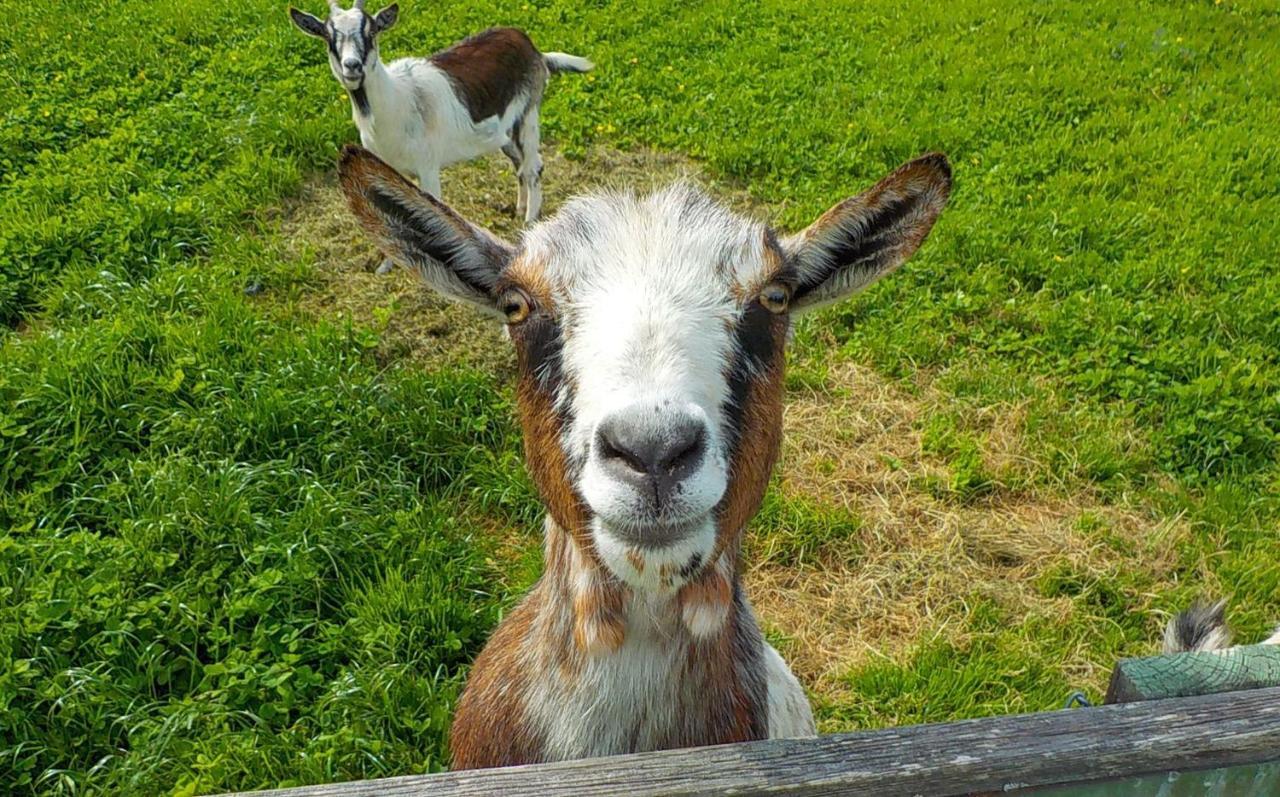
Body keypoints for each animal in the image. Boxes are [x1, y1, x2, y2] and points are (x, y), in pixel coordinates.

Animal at [289, 1, 588, 272]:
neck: (397, 102)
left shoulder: (428, 167)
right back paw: (518, 209)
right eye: (329, 37)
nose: (352, 67)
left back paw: (529, 221)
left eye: (371, 32)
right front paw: (386, 265)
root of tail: (533, 48)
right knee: (519, 164)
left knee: (533, 166)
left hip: (528, 114)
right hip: (504, 132)